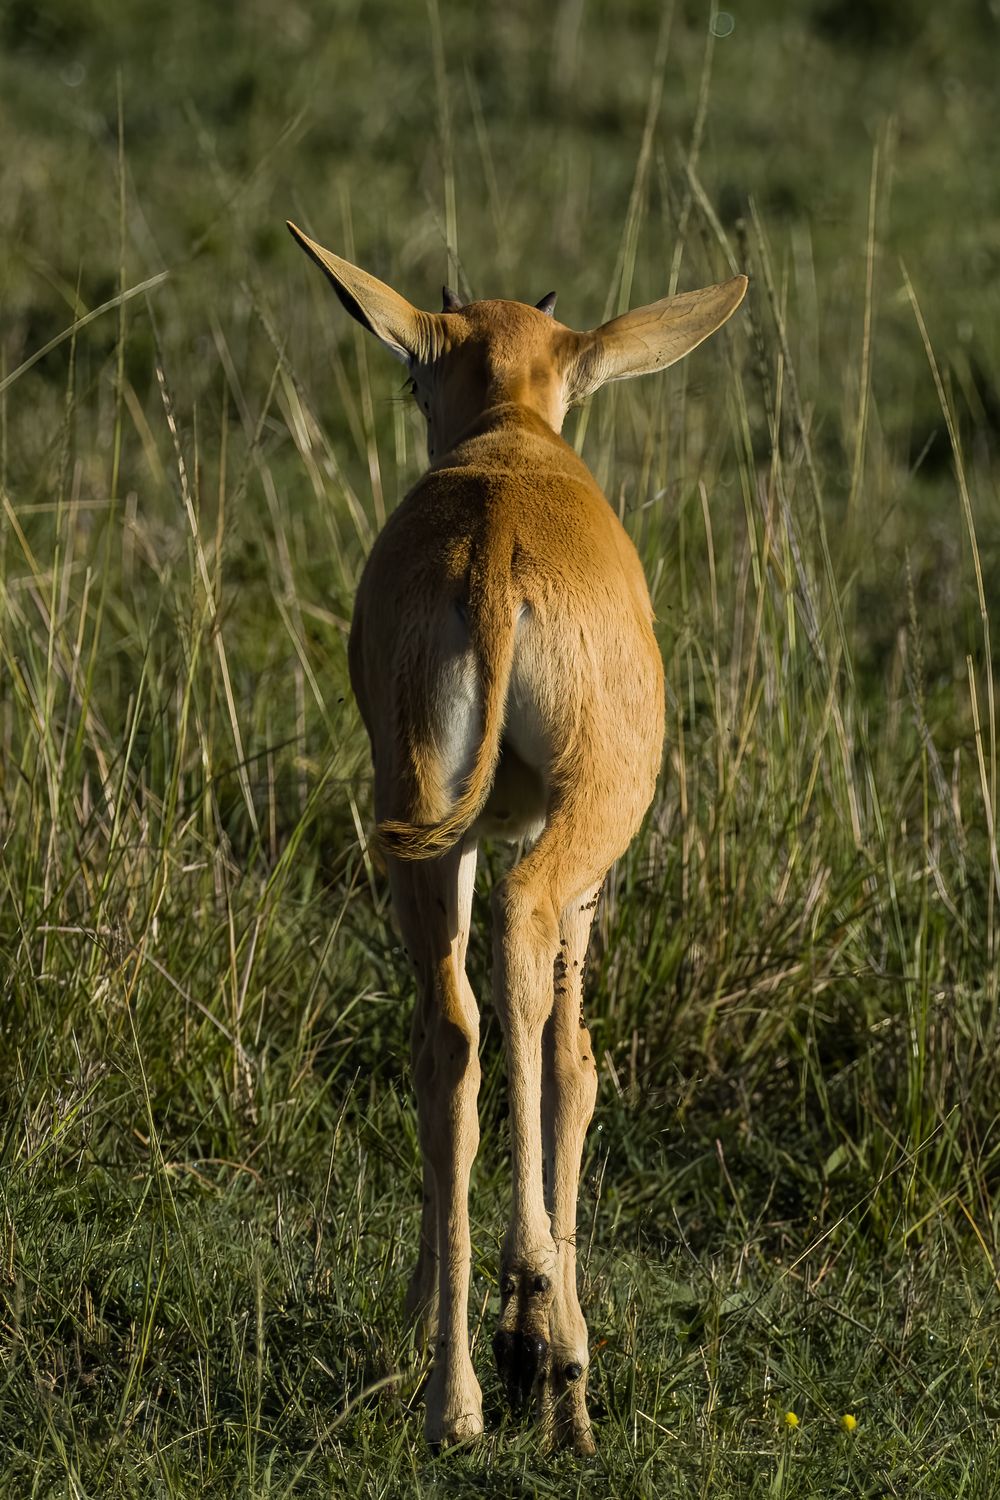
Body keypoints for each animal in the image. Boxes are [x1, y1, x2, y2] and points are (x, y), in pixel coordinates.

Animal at [288, 219, 746, 1452]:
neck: (514, 446)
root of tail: (496, 563)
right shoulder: (586, 871)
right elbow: (574, 1064)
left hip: (417, 829)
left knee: (446, 1033)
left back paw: (453, 1400)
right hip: (568, 837)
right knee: (527, 970)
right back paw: (544, 1329)